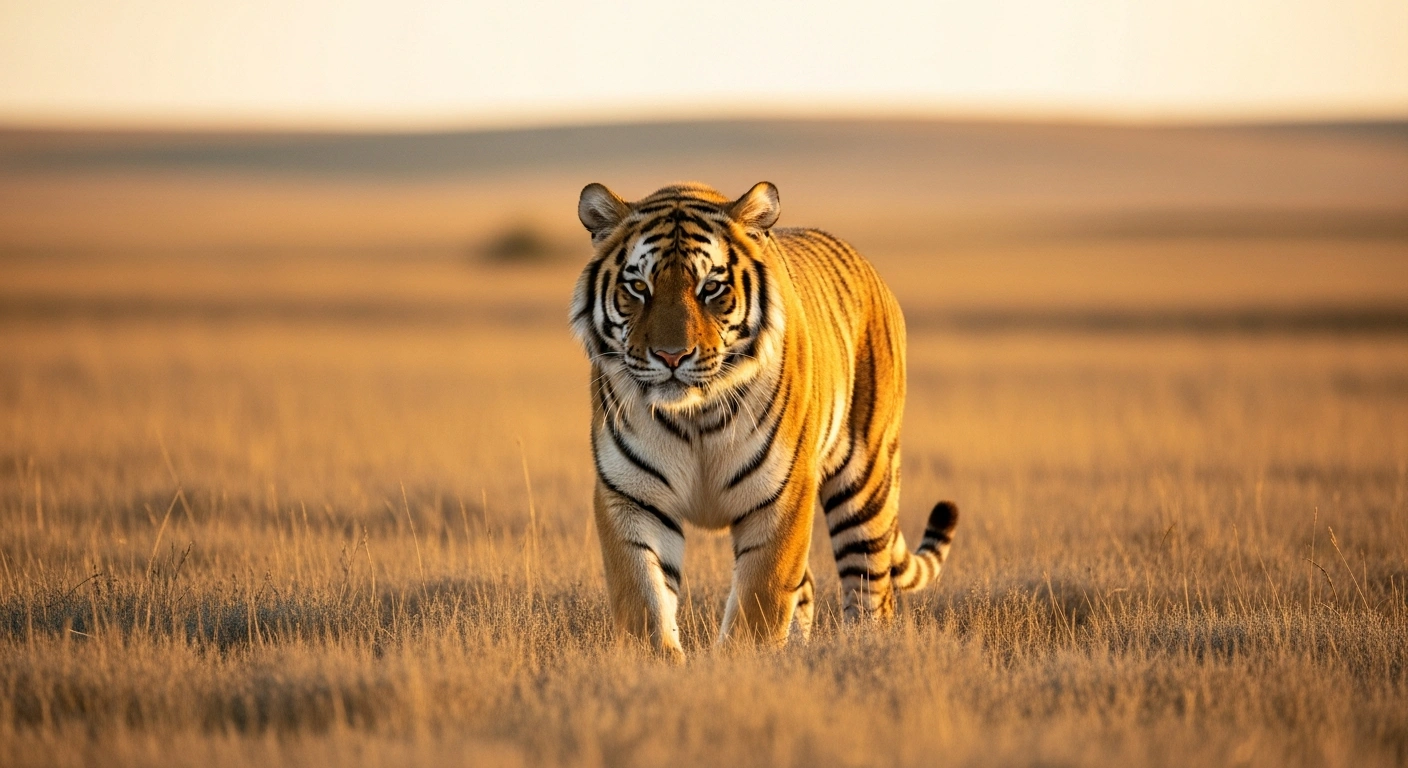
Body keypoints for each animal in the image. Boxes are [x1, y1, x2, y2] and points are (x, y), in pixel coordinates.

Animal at [571, 180, 958, 661]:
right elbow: (643, 599)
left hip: (866, 483)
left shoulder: (782, 493)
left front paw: (741, 665)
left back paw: (865, 652)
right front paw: (658, 666)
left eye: (711, 287)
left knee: (871, 591)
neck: (696, 415)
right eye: (639, 287)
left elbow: (761, 601)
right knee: (809, 588)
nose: (671, 357)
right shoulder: (630, 495)